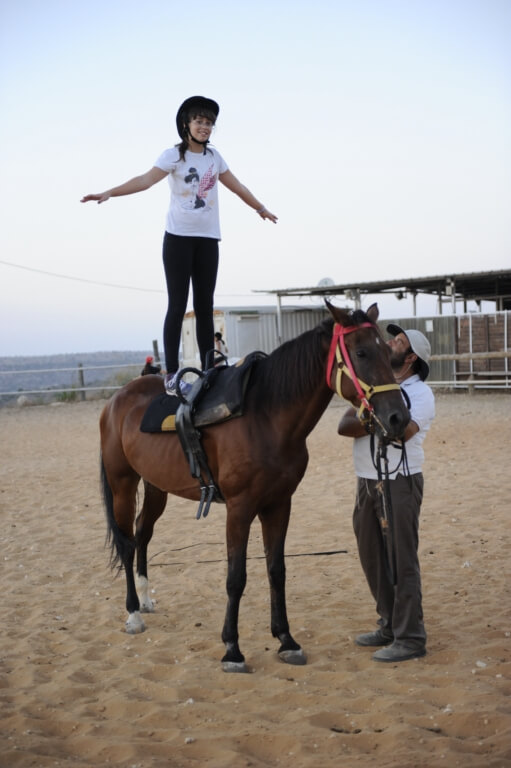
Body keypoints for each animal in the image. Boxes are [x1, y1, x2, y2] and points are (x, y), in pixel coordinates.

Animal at [100, 304, 410, 668]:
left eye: (388, 353)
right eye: (361, 353)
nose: (398, 418)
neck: (266, 416)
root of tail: (117, 400)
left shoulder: (278, 504)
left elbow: (277, 570)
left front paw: (286, 640)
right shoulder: (239, 508)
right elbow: (236, 578)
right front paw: (232, 648)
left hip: (155, 486)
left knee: (142, 533)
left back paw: (146, 599)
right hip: (122, 484)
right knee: (126, 542)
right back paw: (134, 613)